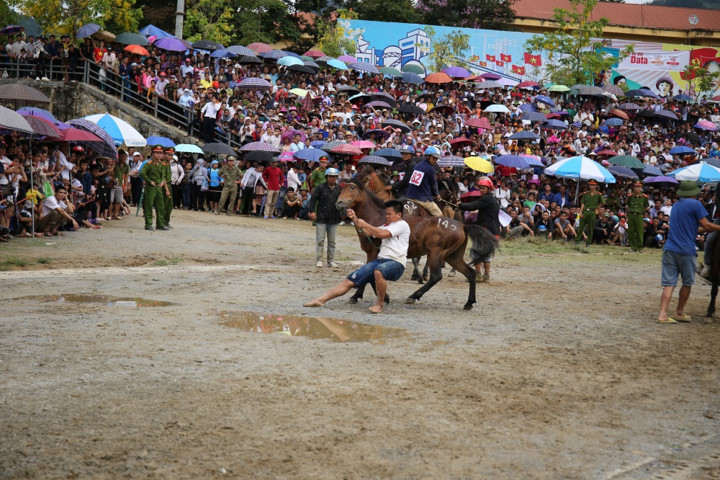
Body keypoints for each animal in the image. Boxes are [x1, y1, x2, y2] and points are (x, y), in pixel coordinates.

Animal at [336, 178, 496, 310]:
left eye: (352, 188)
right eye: (342, 188)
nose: (339, 203)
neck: (377, 218)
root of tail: (462, 226)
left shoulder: (373, 253)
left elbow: (369, 277)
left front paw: (380, 297)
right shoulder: (372, 254)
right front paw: (357, 296)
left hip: (435, 254)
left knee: (436, 276)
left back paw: (413, 296)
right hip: (453, 257)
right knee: (470, 273)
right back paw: (469, 303)